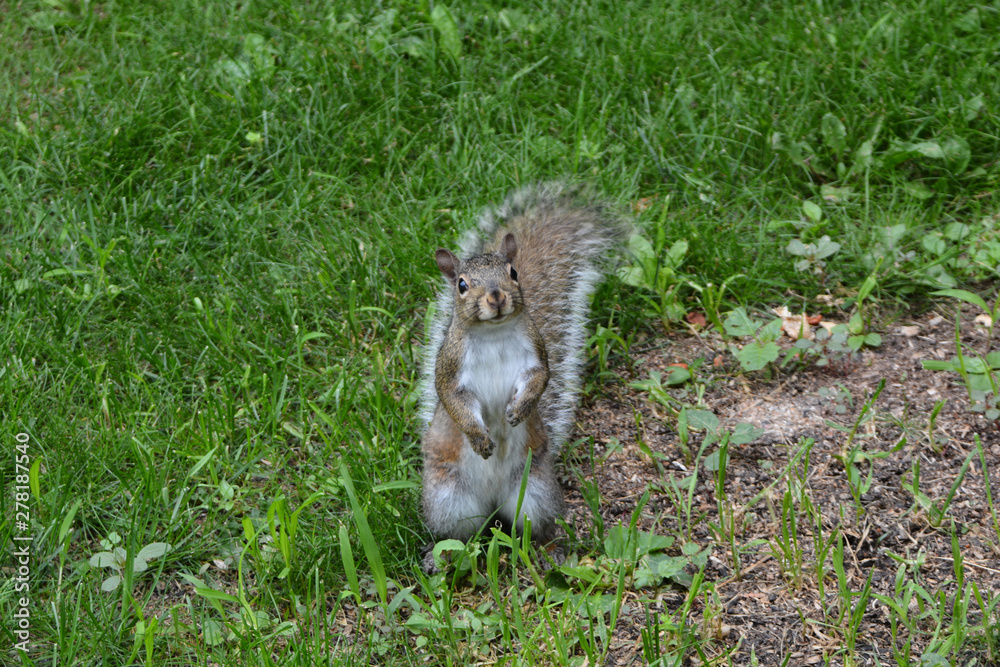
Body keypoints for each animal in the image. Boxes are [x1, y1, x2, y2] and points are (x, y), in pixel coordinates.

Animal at [418, 183, 624, 572]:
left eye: (513, 272)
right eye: (462, 285)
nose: (497, 297)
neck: (494, 333)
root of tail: (492, 502)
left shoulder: (536, 355)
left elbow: (540, 379)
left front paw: (519, 411)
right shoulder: (451, 369)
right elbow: (454, 401)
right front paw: (480, 439)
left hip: (535, 494)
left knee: (536, 527)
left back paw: (550, 550)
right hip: (448, 500)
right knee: (458, 537)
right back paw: (443, 559)